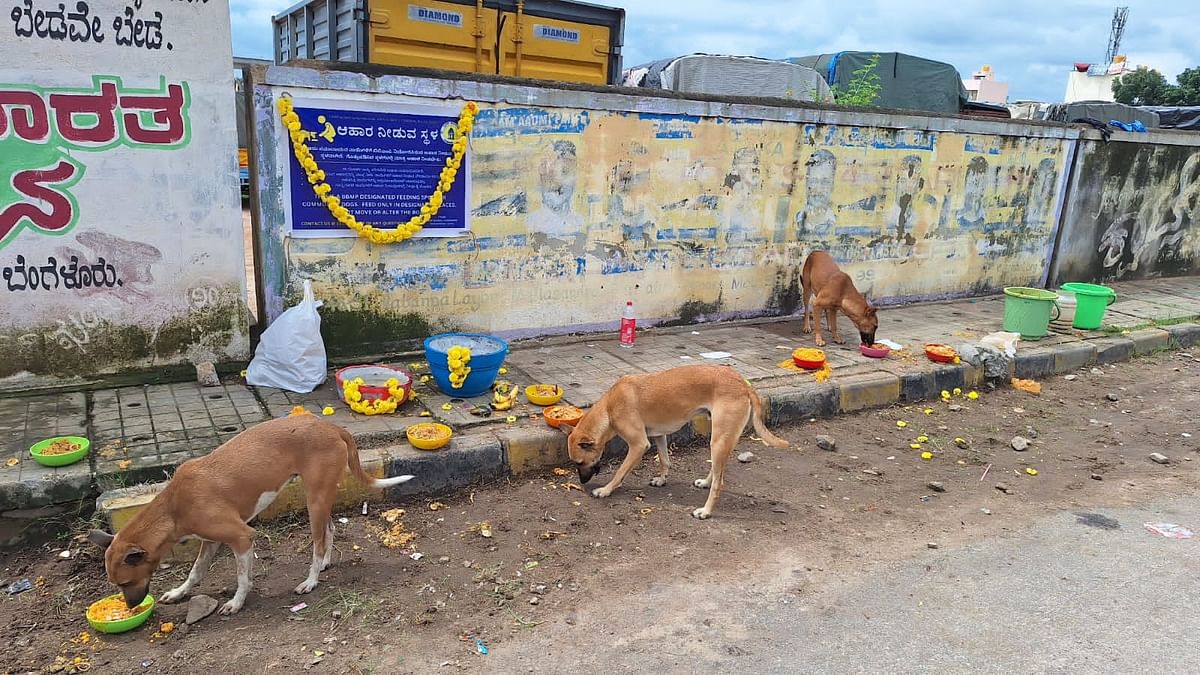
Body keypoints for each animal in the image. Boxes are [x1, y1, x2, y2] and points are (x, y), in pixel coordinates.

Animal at [87, 413, 415, 612]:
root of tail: (331, 427)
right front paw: (180, 592)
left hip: (316, 499)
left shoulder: (242, 537)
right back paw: (323, 565)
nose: (130, 607)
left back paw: (310, 581)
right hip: (319, 499)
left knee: (319, 541)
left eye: (125, 583)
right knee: (329, 531)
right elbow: (196, 572)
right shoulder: (209, 541)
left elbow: (243, 577)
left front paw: (236, 602)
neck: (172, 507)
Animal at [559, 365, 787, 516]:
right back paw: (705, 482)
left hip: (718, 441)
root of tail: (743, 384)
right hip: (720, 440)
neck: (608, 408)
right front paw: (661, 479)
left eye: (580, 462)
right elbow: (664, 460)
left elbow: (620, 472)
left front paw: (605, 490)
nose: (582, 482)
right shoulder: (659, 435)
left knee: (719, 482)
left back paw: (705, 510)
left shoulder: (639, 445)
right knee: (717, 469)